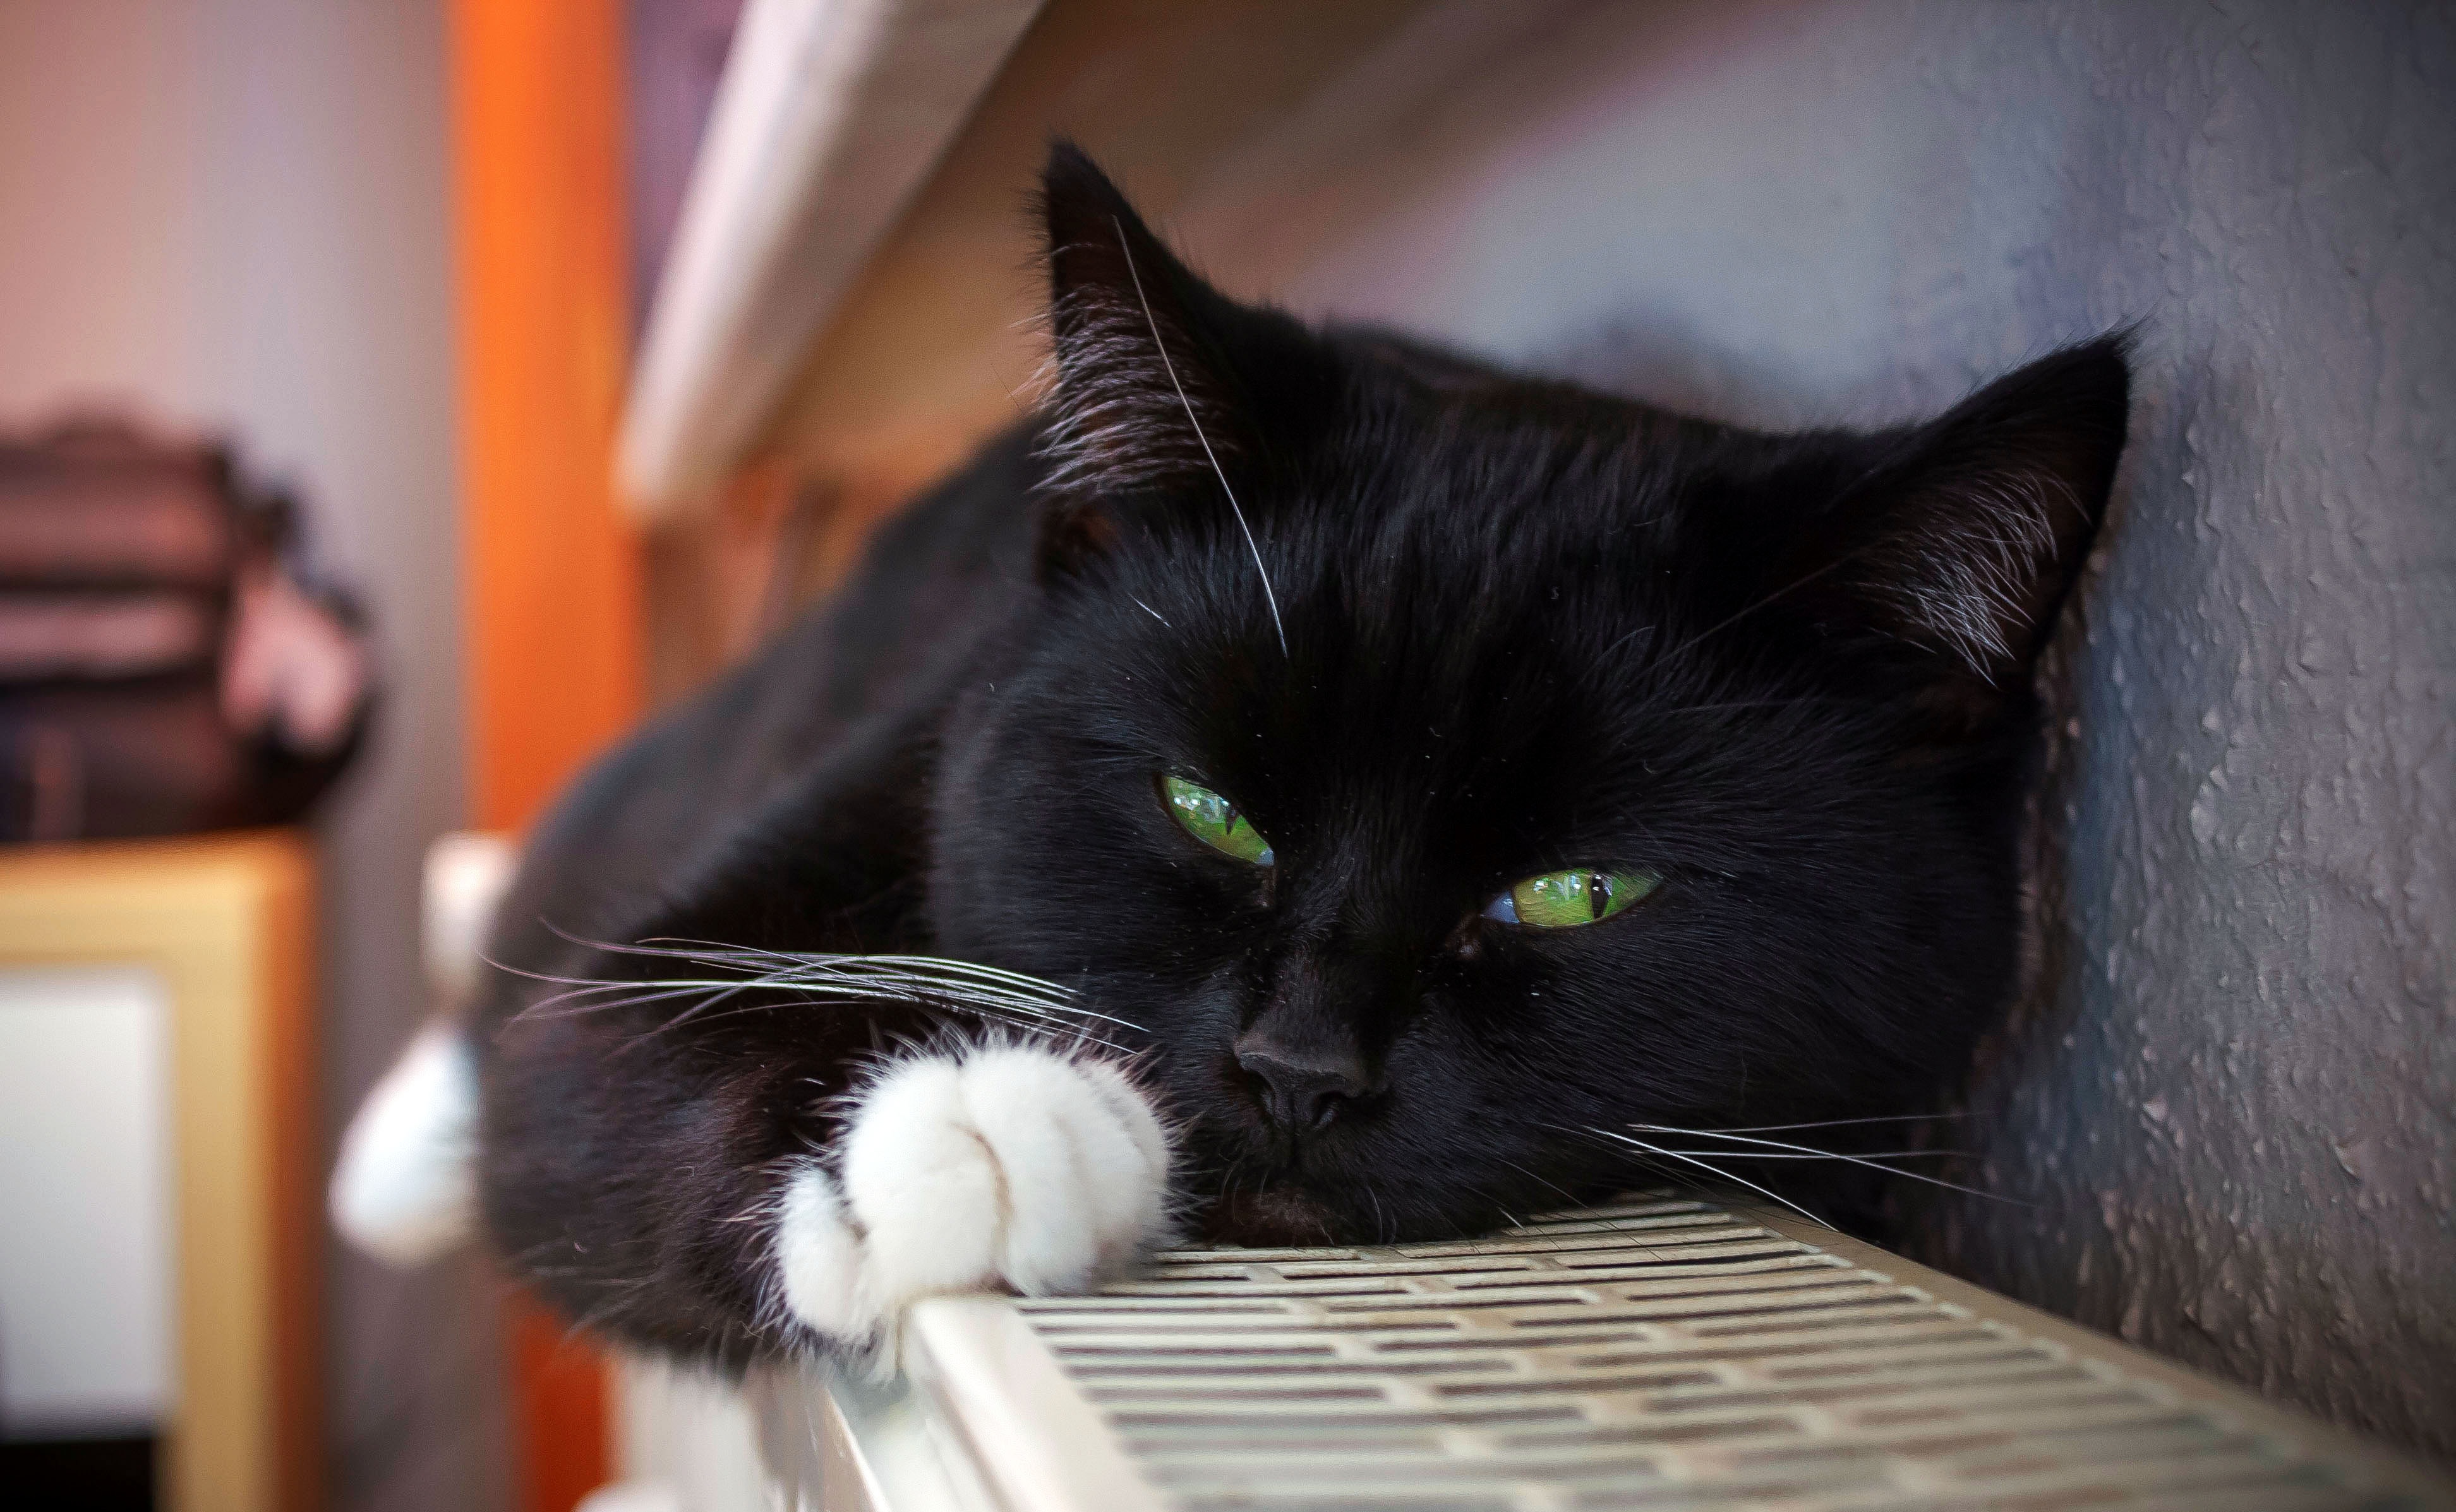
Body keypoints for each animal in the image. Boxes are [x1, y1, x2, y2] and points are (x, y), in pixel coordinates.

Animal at [327, 145, 2131, 1374]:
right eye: (1211, 812)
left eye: (1577, 894)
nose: (1299, 1068)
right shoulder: (896, 755)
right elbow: (606, 1038)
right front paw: (966, 1121)